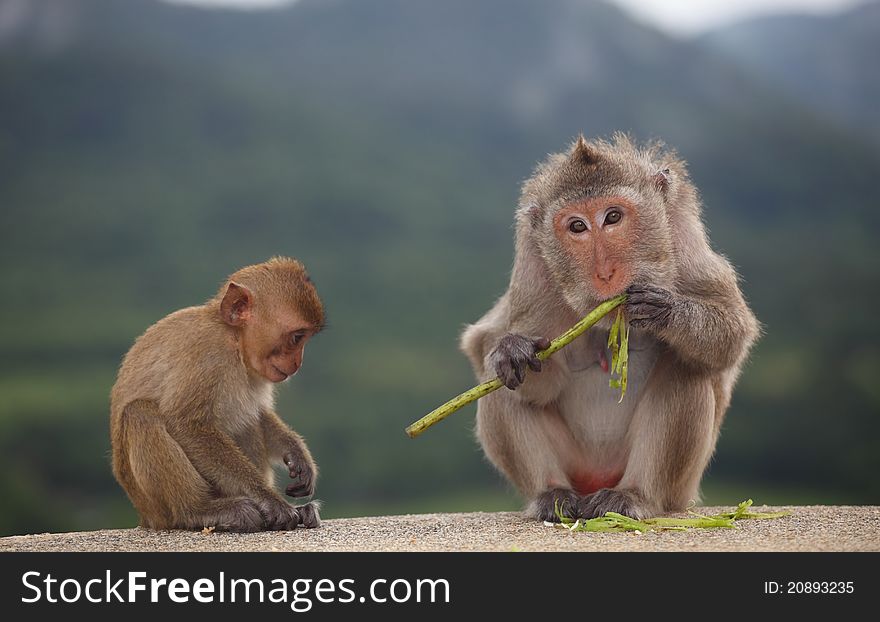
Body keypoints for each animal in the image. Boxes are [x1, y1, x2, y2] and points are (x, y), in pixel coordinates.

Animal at [111, 258, 324, 532]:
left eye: (304, 338)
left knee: (246, 419)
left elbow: (259, 413)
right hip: (153, 505)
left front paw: (297, 454)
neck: (234, 340)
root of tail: (145, 516)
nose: (298, 363)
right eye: (297, 338)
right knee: (139, 412)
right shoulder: (208, 355)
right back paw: (199, 511)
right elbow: (187, 425)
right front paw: (269, 499)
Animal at [460, 135, 756, 520]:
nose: (605, 272)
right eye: (577, 227)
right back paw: (551, 495)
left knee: (685, 369)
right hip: (576, 464)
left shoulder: (685, 243)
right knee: (498, 385)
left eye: (613, 217)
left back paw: (634, 495)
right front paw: (512, 351)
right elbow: (503, 354)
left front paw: (667, 313)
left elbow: (733, 331)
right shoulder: (532, 269)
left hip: (678, 487)